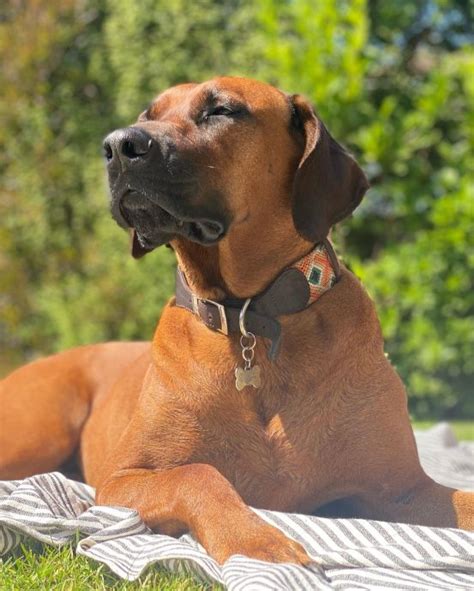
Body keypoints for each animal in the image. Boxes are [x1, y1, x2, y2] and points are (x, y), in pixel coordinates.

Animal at [1, 76, 472, 568]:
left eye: (222, 110)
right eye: (148, 115)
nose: (117, 145)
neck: (251, 318)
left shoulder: (402, 490)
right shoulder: (123, 477)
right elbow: (198, 474)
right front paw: (258, 541)